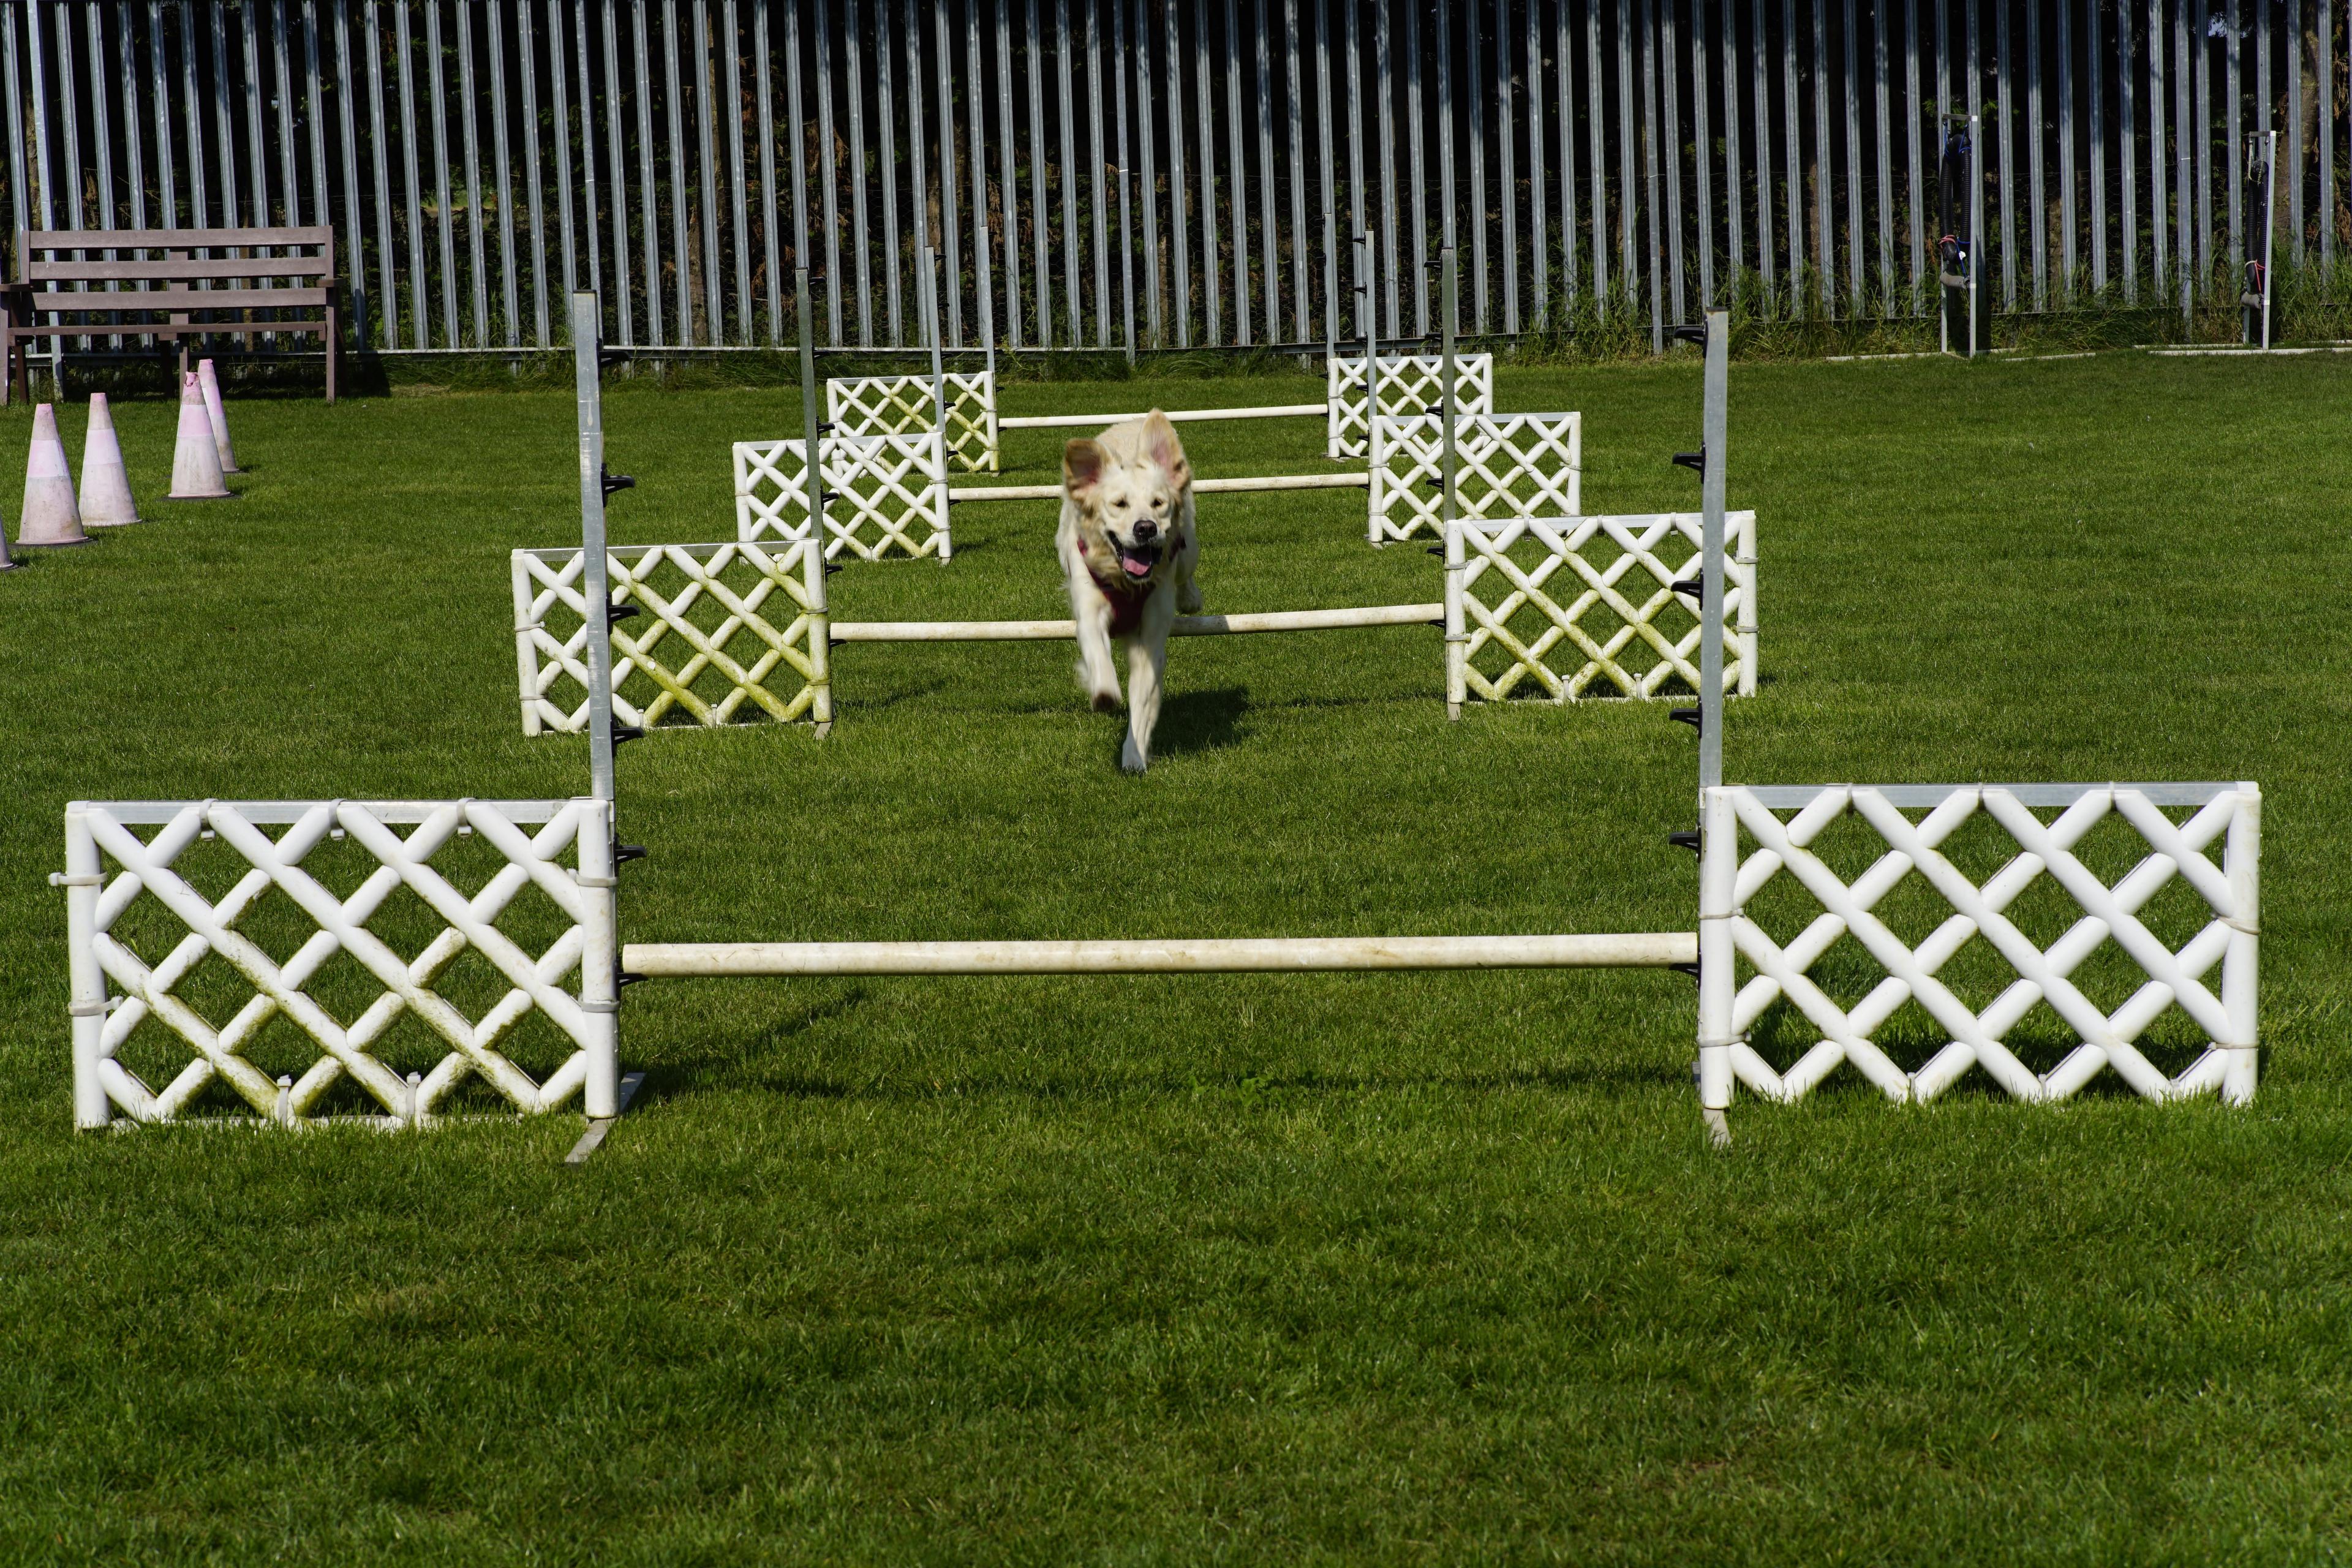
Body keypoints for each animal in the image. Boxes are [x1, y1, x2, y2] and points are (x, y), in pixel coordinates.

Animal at [1072, 409, 1213, 771]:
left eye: (1158, 503)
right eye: (1118, 504)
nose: (1145, 528)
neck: (1127, 582)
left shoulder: (1151, 628)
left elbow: (1143, 695)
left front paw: (1134, 755)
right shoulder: (1089, 602)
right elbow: (1096, 649)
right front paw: (1104, 691)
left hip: (1189, 548)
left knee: (1186, 573)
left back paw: (1191, 600)